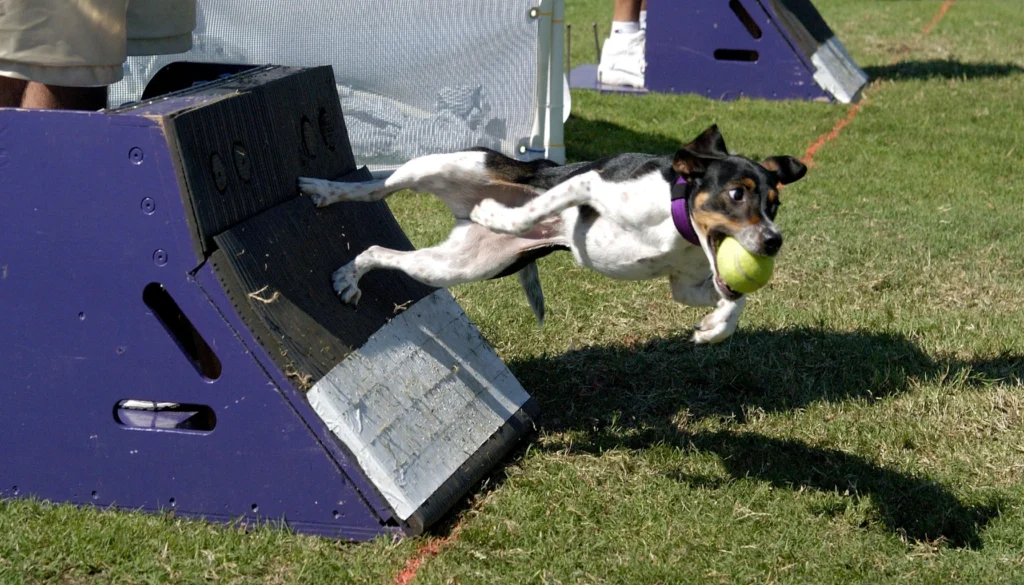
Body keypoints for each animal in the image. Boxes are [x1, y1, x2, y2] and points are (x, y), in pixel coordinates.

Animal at [296, 124, 806, 344]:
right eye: (737, 195)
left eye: (775, 205)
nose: (773, 242)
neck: (675, 219)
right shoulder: (588, 185)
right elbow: (535, 210)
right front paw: (499, 214)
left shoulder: (684, 287)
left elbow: (735, 298)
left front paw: (715, 328)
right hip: (439, 165)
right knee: (374, 190)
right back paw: (326, 198)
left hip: (457, 265)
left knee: (384, 249)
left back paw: (350, 274)